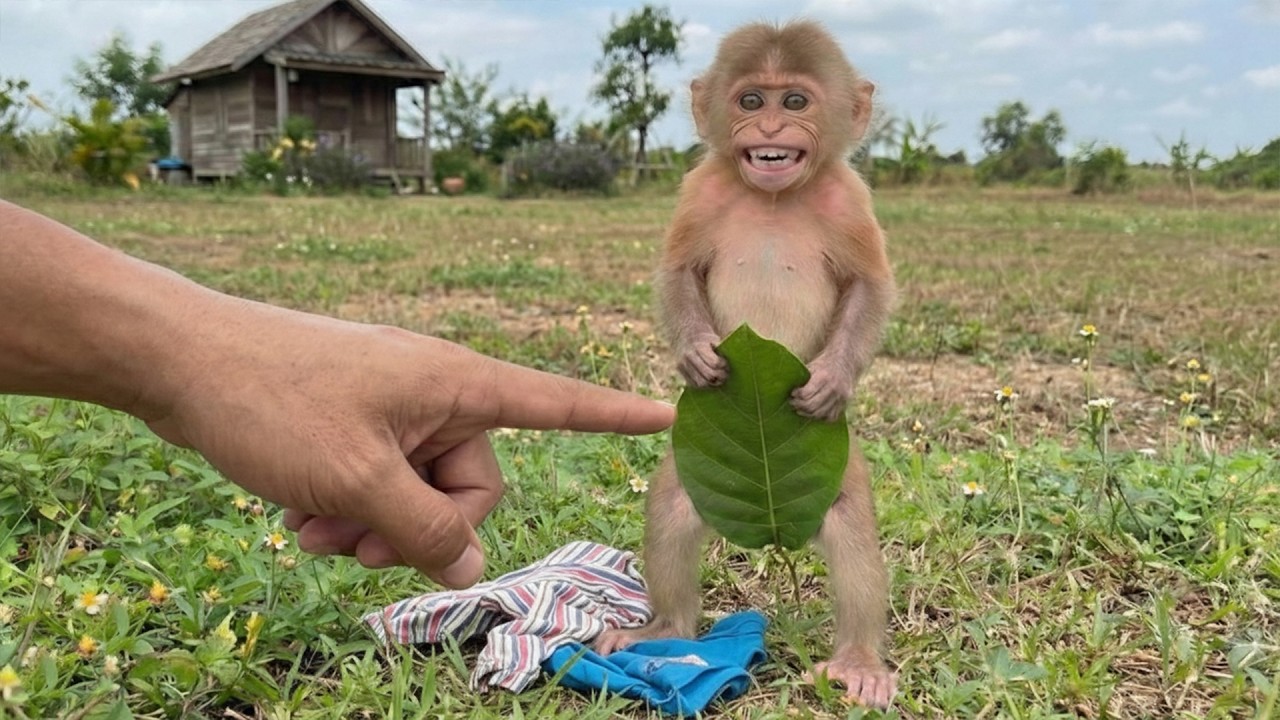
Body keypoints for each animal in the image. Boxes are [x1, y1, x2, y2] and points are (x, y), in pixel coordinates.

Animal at [593, 21, 898, 709]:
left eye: (796, 102)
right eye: (752, 100)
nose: (769, 131)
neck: (776, 197)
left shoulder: (849, 197)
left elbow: (868, 287)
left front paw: (832, 380)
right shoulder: (699, 188)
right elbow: (679, 271)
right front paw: (696, 354)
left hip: (832, 463)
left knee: (849, 524)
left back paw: (859, 661)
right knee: (673, 504)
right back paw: (665, 629)